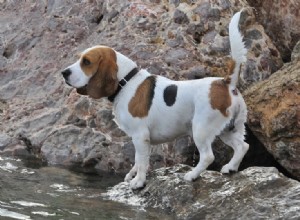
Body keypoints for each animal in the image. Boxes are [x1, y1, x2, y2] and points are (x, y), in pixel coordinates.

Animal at [61, 10, 248, 189]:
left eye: (86, 62)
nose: (64, 72)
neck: (126, 82)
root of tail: (225, 83)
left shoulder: (140, 136)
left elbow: (142, 162)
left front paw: (138, 182)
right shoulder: (140, 139)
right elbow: (138, 160)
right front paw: (133, 175)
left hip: (201, 129)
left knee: (208, 156)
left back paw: (192, 175)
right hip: (228, 129)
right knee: (242, 146)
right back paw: (231, 167)